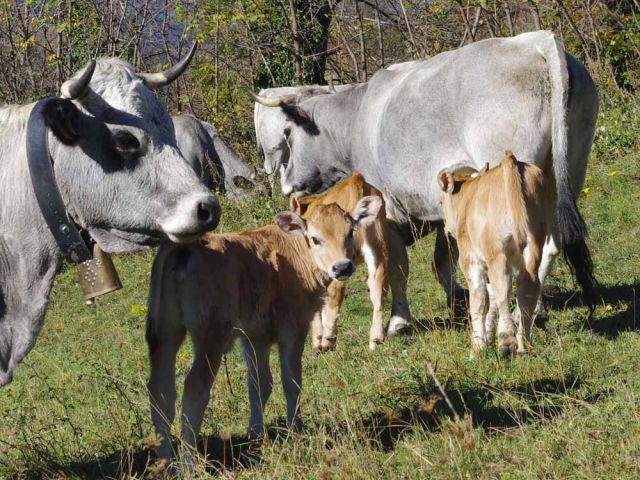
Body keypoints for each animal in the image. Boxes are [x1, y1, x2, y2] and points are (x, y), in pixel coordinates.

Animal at [147, 194, 382, 464]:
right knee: (195, 387)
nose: (342, 267)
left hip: (164, 333)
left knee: (161, 391)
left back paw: (166, 463)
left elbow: (259, 384)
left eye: (350, 231)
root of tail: (184, 247)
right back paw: (188, 464)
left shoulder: (255, 336)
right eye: (315, 238)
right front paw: (295, 431)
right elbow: (291, 382)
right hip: (210, 337)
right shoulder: (293, 328)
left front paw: (256, 434)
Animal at [292, 171, 388, 350]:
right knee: (378, 284)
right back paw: (375, 339)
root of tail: (355, 180)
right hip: (378, 248)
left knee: (337, 291)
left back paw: (327, 340)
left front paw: (317, 340)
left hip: (338, 264)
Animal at [440, 151, 556, 356]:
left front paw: (477, 348)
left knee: (504, 289)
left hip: (497, 252)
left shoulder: (470, 261)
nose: (446, 226)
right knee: (528, 290)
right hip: (533, 244)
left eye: (441, 201)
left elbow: (479, 302)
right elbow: (490, 299)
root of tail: (511, 160)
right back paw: (523, 345)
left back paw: (506, 340)